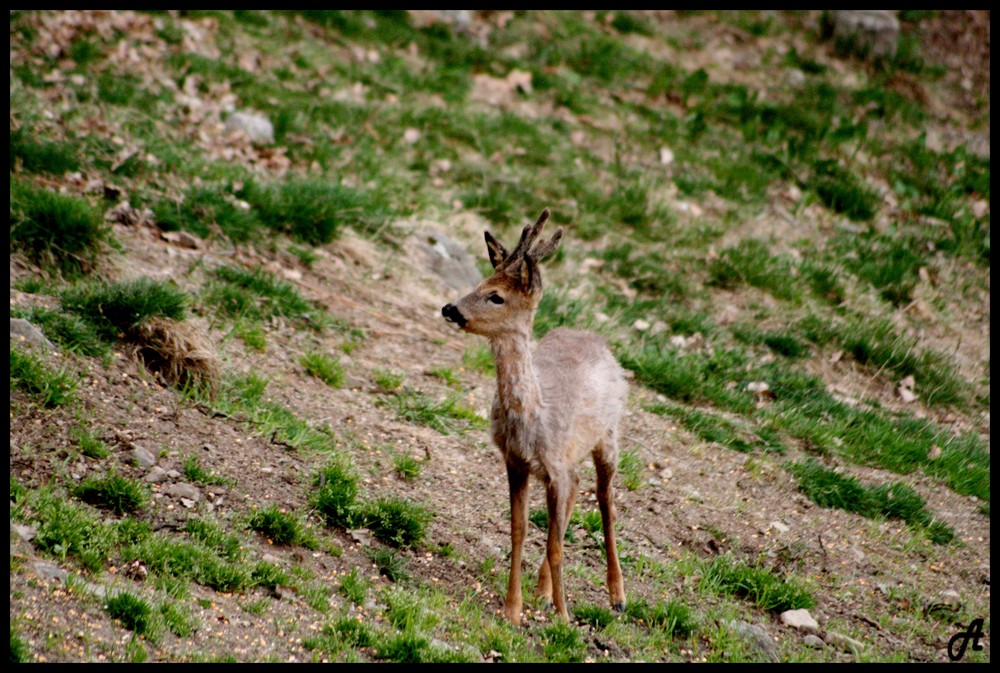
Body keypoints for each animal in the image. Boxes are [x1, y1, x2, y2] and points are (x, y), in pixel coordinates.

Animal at [440, 207, 624, 624]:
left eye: (496, 296)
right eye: (479, 282)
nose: (450, 308)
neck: (532, 418)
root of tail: (596, 338)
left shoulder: (553, 464)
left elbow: (556, 545)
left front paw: (564, 617)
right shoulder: (518, 462)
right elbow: (519, 530)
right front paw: (513, 609)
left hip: (609, 435)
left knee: (606, 501)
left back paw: (617, 595)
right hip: (570, 461)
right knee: (577, 493)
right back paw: (543, 591)